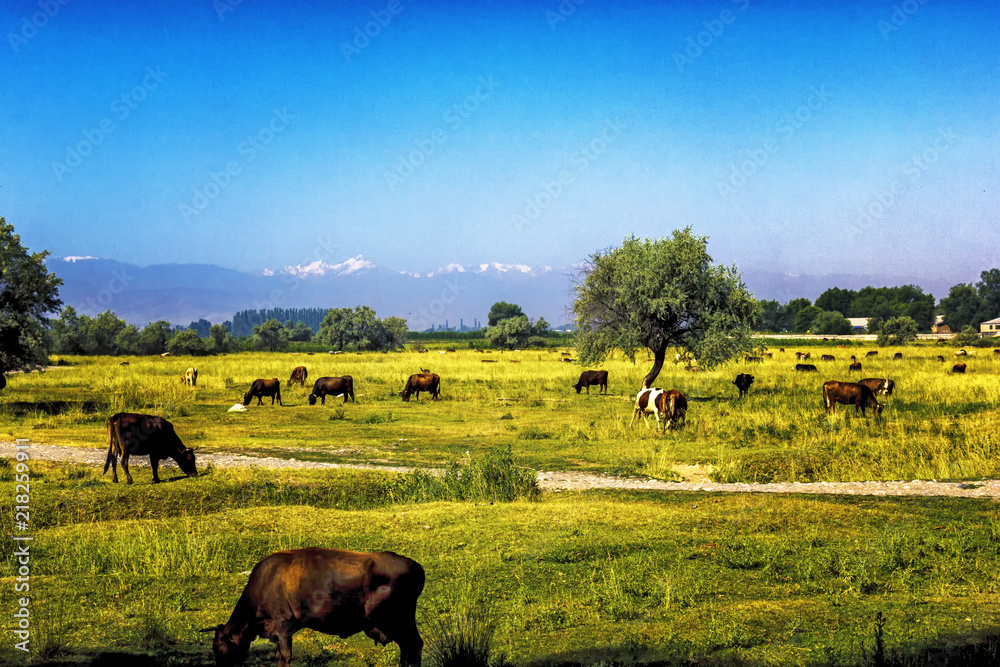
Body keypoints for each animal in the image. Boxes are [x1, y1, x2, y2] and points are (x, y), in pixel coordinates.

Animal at [202, 548, 424, 667]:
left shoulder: (283, 624)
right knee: (409, 647)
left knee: (413, 646)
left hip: (392, 620)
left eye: (217, 646)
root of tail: (414, 564)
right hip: (403, 621)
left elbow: (285, 656)